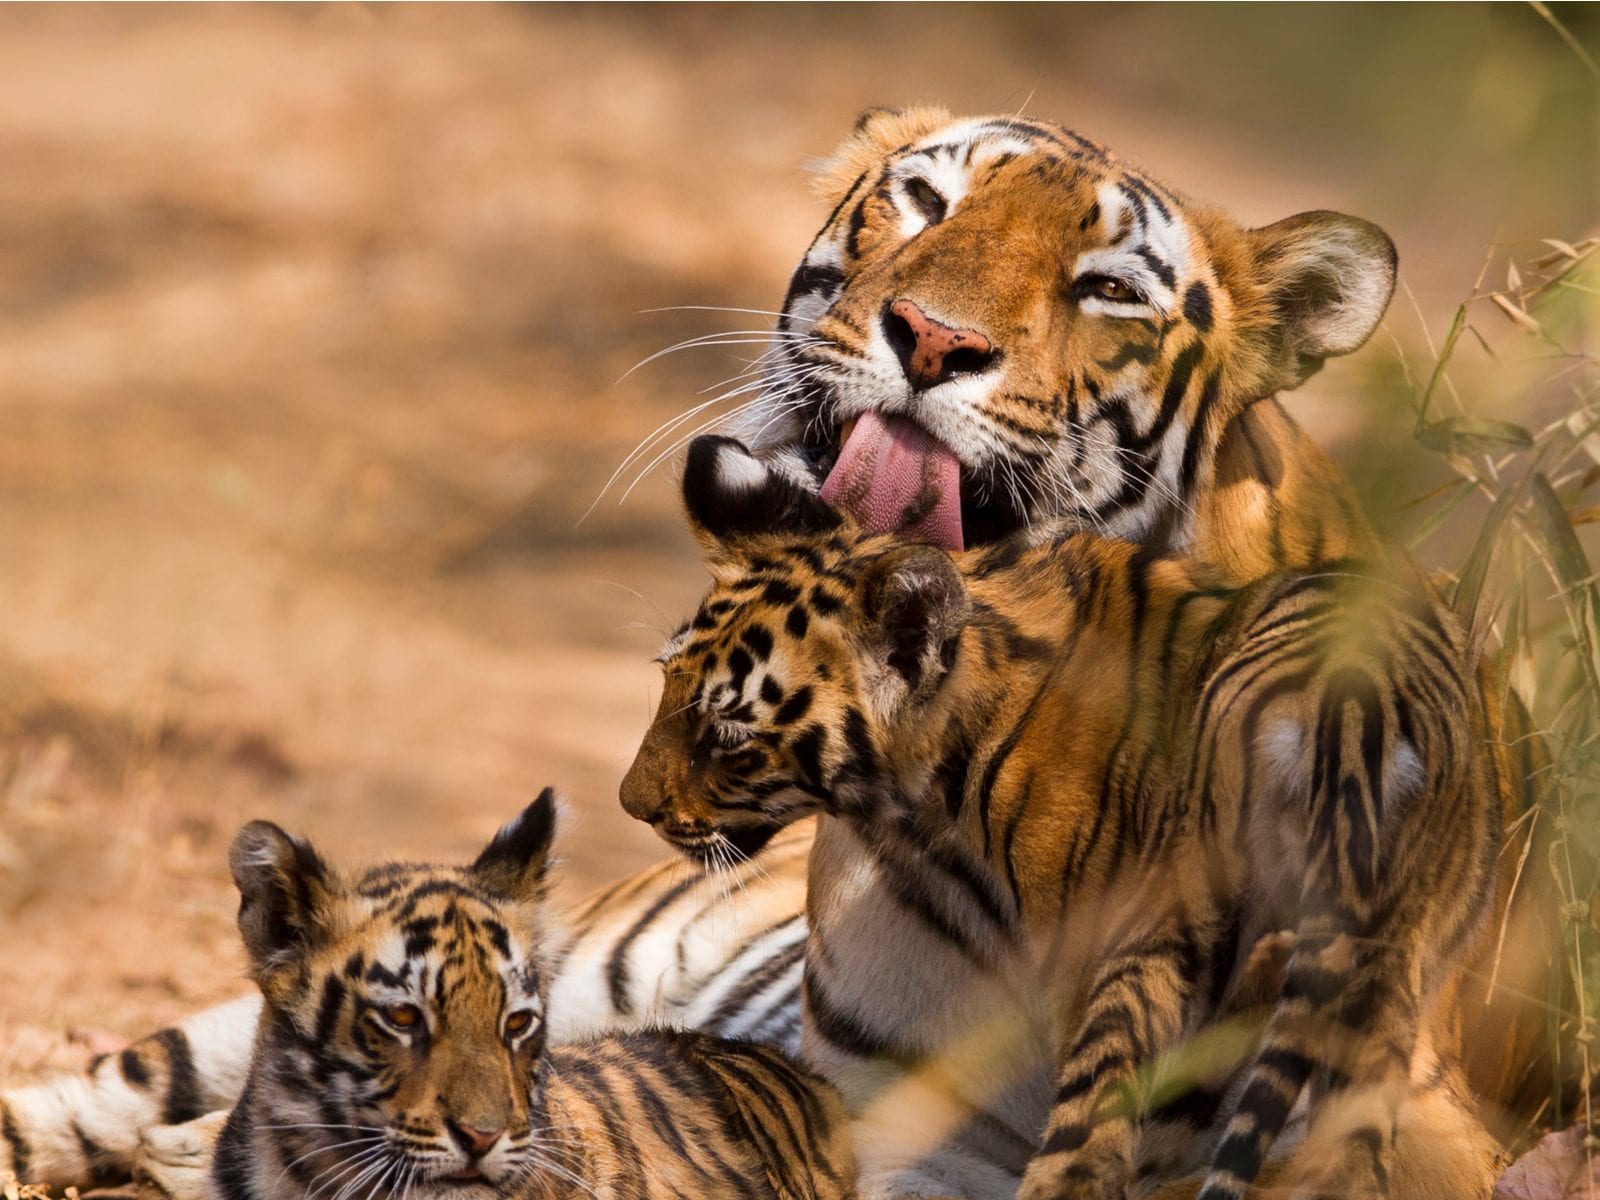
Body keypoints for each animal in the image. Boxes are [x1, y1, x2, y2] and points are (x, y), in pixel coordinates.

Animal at [620, 441, 1510, 1200]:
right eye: (667, 684)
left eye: (729, 734)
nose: (635, 804)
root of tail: (1351, 712)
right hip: (1382, 970)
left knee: (1090, 1151)